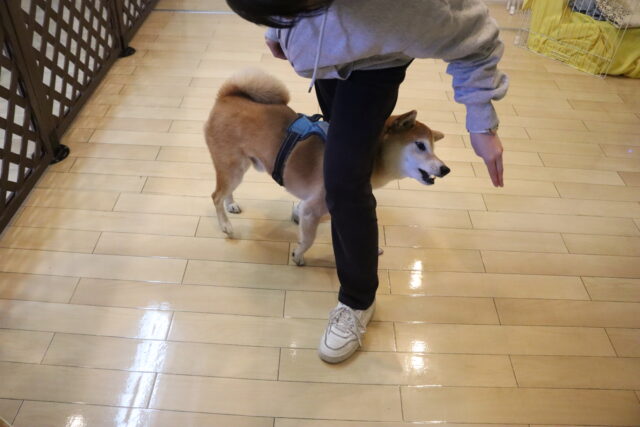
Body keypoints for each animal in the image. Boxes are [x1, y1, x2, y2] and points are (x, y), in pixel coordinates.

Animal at [204, 69, 450, 266]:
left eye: (434, 147)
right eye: (420, 145)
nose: (445, 169)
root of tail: (226, 96)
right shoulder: (314, 208)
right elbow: (309, 238)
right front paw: (299, 255)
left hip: (240, 166)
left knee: (226, 191)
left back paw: (231, 204)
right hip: (233, 168)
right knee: (216, 195)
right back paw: (226, 225)